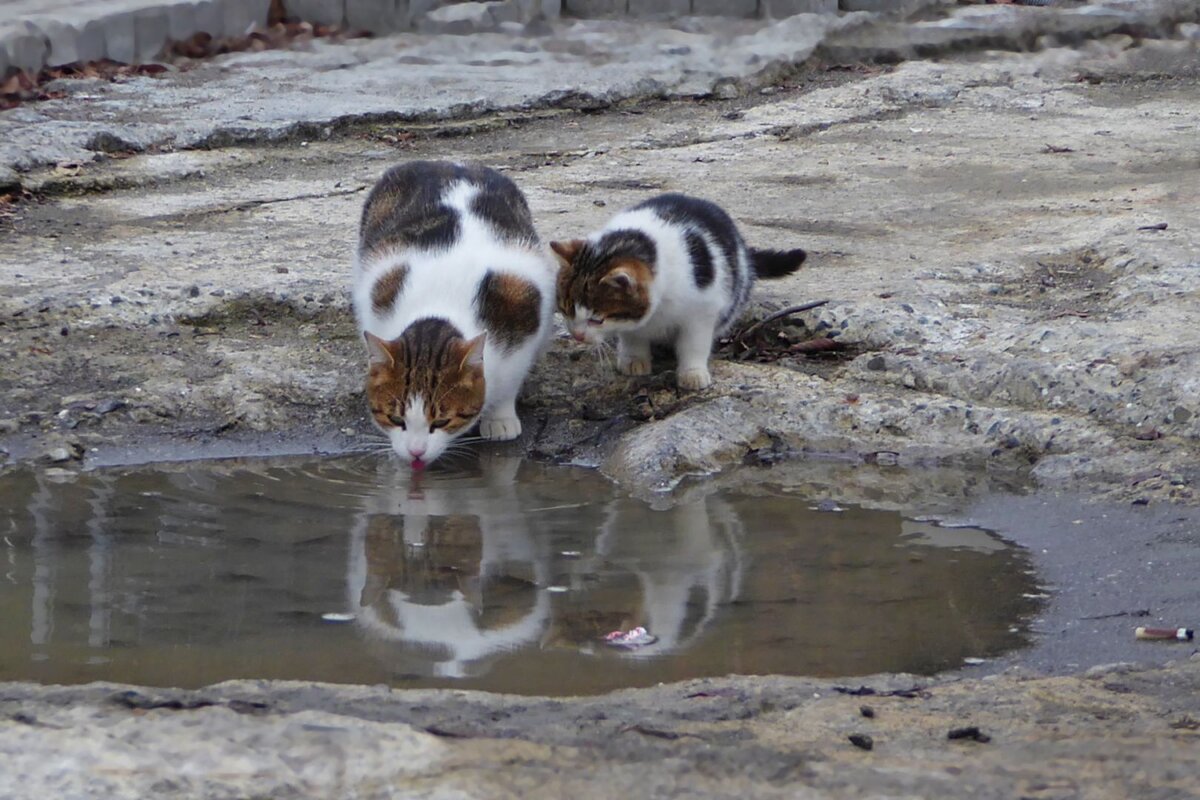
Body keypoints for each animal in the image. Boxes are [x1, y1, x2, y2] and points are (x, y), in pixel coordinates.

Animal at [350, 158, 556, 465]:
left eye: (441, 422)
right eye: (396, 419)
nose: (415, 452)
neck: (440, 303)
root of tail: (448, 163)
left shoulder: (523, 326)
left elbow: (510, 382)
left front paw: (500, 418)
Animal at [552, 195, 806, 393]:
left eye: (597, 319)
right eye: (565, 310)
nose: (577, 335)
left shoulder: (702, 311)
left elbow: (693, 344)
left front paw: (692, 374)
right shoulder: (632, 320)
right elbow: (633, 335)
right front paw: (634, 360)